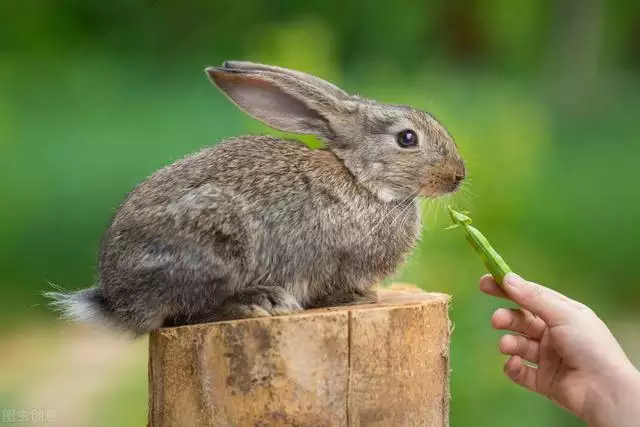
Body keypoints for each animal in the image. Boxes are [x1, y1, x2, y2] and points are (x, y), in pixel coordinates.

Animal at [45, 60, 464, 336]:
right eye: (407, 138)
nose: (458, 176)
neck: (362, 180)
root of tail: (117, 301)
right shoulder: (335, 261)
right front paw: (360, 298)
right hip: (214, 244)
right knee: (185, 313)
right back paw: (258, 302)